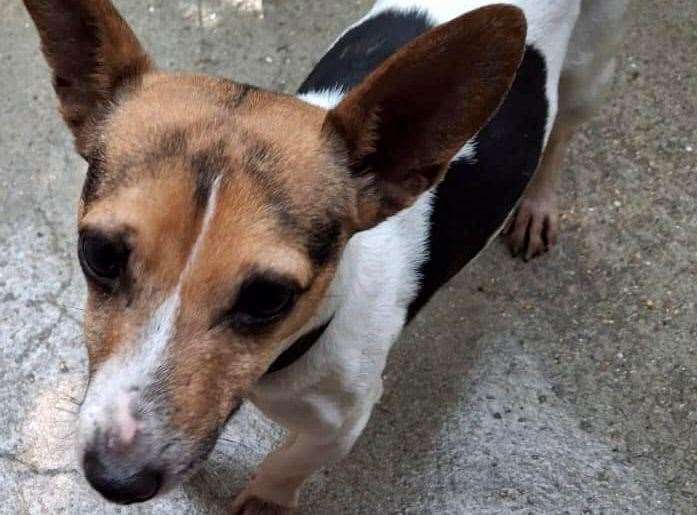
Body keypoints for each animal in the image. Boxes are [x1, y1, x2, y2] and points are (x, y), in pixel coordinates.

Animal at [24, 0, 628, 512]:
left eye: (269, 297)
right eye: (99, 254)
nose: (116, 479)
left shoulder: (342, 423)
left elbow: (287, 465)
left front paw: (265, 500)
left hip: (589, 76)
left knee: (563, 134)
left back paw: (538, 203)